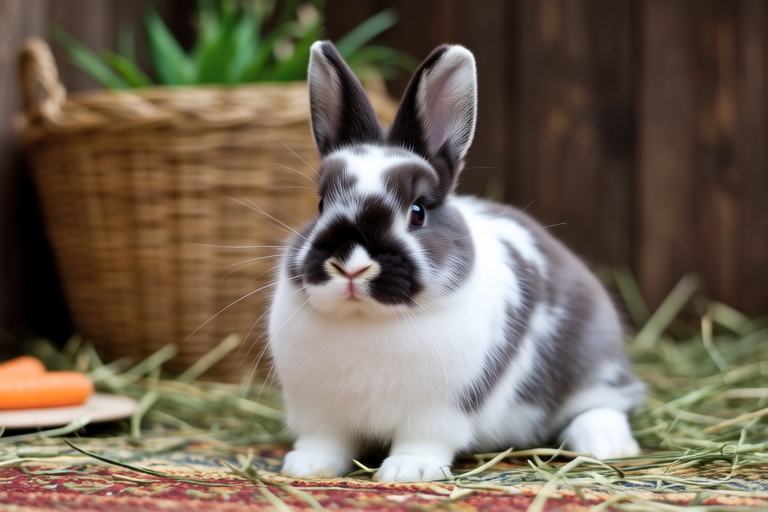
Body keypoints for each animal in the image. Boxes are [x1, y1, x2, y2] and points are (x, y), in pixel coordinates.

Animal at [267, 40, 645, 483]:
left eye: (417, 212)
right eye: (321, 204)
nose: (351, 265)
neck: (366, 321)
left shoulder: (436, 413)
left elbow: (421, 443)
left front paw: (406, 472)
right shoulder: (320, 414)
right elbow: (325, 442)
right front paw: (306, 467)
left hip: (593, 362)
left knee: (608, 403)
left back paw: (601, 444)